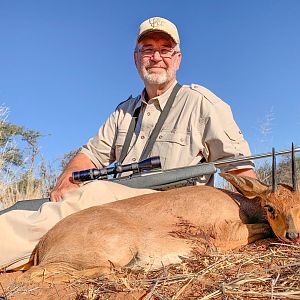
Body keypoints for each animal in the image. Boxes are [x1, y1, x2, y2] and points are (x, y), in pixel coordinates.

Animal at [19, 165, 298, 282]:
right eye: (270, 206)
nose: (293, 234)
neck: (238, 202)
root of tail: (42, 245)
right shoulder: (226, 232)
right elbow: (261, 229)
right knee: (32, 275)